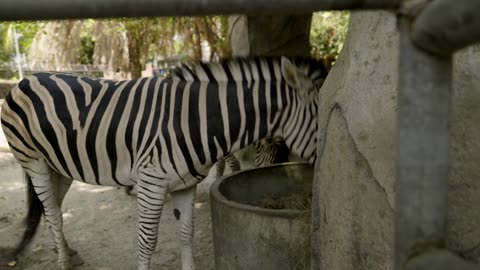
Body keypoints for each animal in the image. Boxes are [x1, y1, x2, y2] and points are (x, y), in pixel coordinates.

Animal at [0, 56, 326, 268]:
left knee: (51, 209)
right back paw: (64, 262)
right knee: (54, 215)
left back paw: (69, 253)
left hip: (62, 166)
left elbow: (186, 234)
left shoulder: (185, 185)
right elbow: (146, 243)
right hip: (34, 162)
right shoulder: (152, 183)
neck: (199, 121)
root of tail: (27, 78)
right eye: (318, 117)